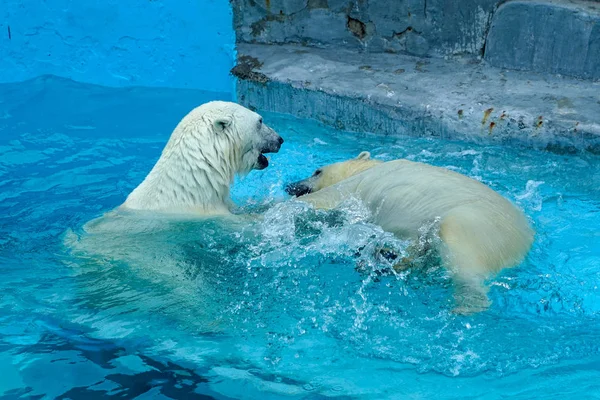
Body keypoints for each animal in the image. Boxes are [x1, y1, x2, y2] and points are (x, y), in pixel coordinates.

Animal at [286, 152, 536, 314]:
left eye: (317, 171)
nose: (290, 185)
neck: (372, 167)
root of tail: (523, 243)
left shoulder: (358, 185)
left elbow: (325, 201)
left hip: (479, 225)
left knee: (462, 255)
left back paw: (464, 304)